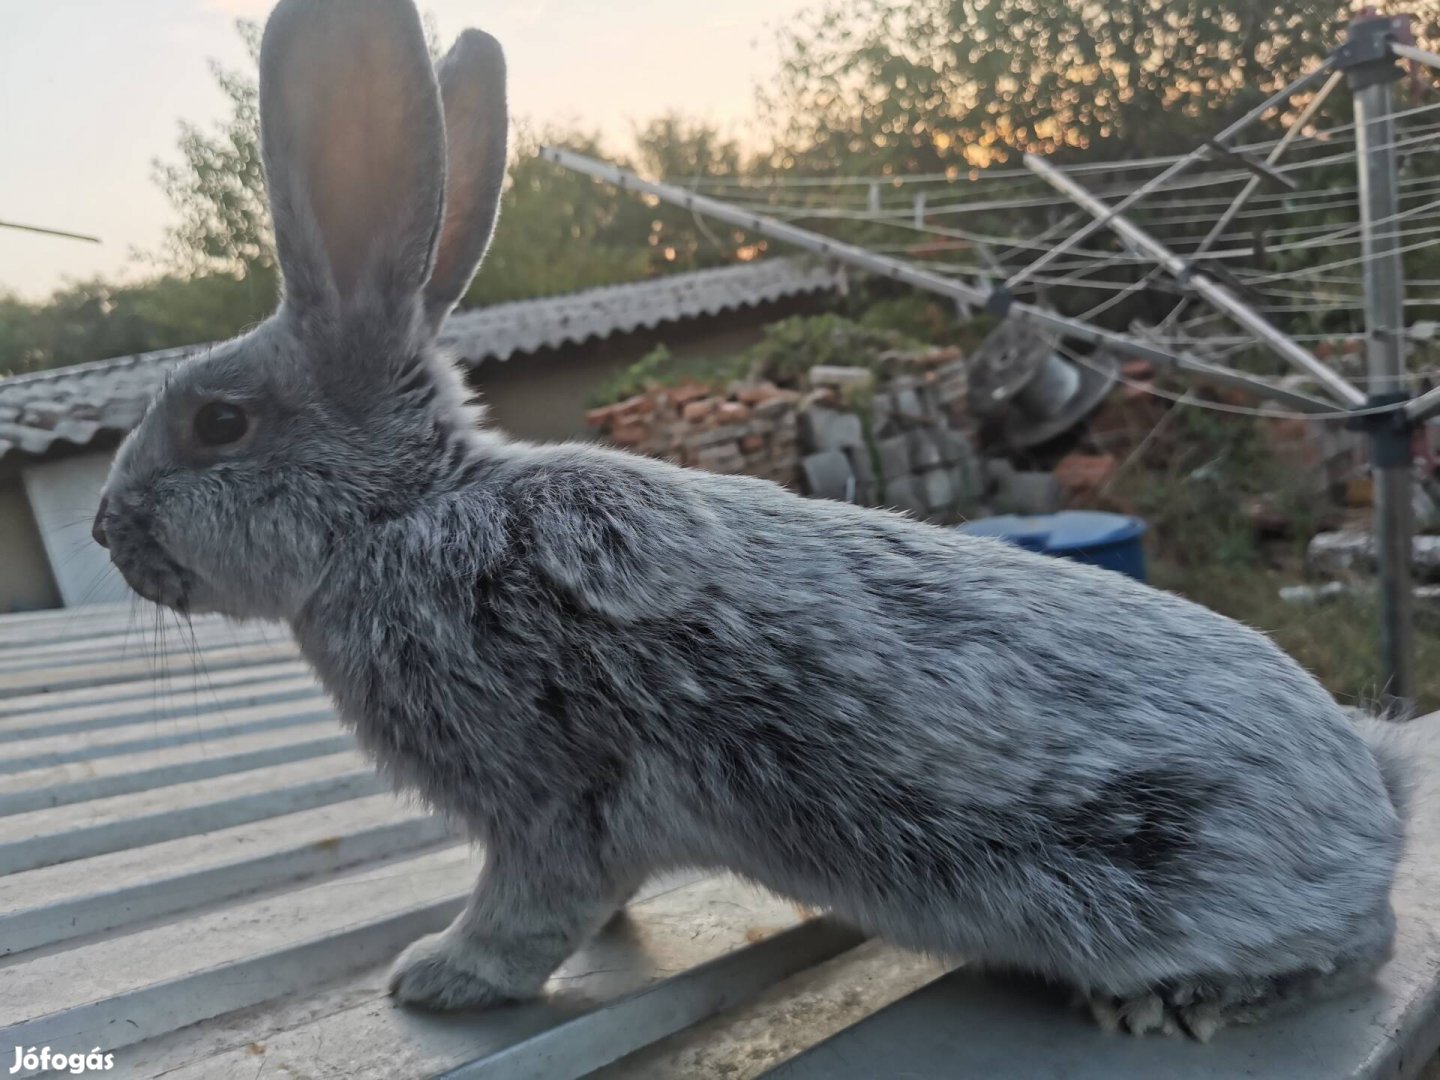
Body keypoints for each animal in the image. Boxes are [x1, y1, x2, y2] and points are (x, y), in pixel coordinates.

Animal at [95, 0, 1411, 1048]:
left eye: (217, 422)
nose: (107, 530)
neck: (403, 514)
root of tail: (1377, 804)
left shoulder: (546, 798)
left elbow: (530, 908)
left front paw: (438, 980)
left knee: (1360, 949)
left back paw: (1170, 1003)